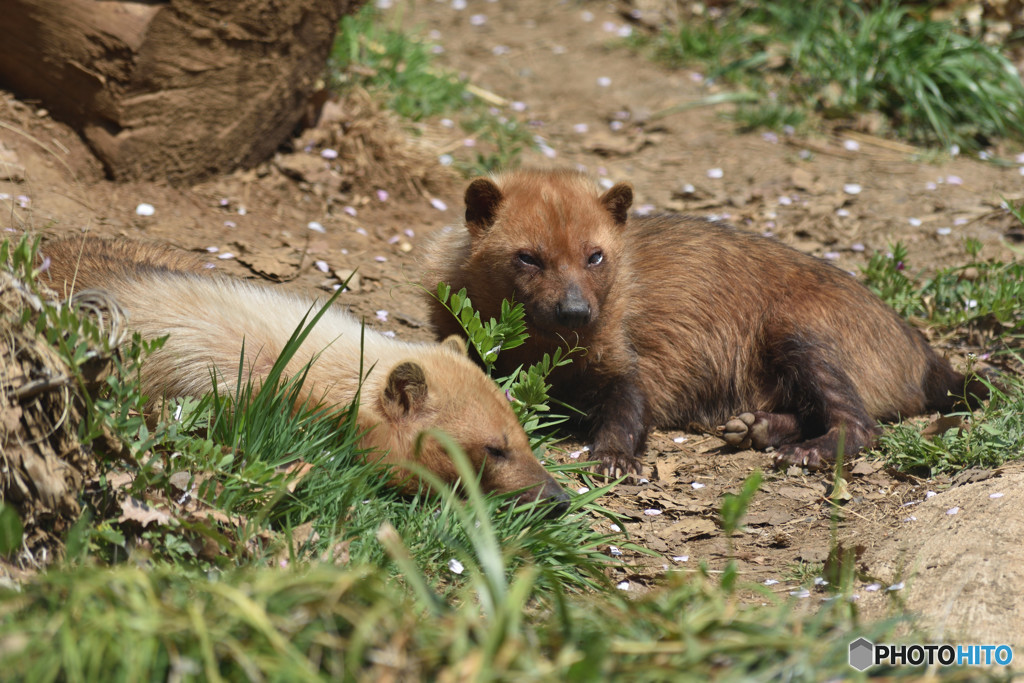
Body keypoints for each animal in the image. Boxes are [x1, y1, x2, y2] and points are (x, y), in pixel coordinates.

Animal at [421, 168, 983, 479]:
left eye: (595, 256)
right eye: (528, 257)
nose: (576, 314)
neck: (541, 351)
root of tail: (925, 351)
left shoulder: (628, 367)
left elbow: (625, 415)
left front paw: (614, 460)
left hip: (795, 334)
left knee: (861, 425)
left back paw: (801, 451)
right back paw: (755, 428)